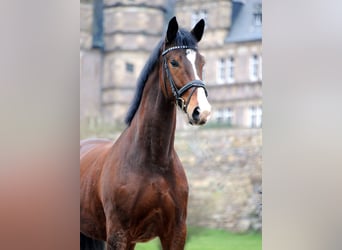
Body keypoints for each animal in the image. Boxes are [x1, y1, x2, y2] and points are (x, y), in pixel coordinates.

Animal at [81, 16, 211, 249]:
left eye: (201, 62)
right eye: (174, 62)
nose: (201, 111)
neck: (154, 161)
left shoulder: (175, 233)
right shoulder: (118, 235)